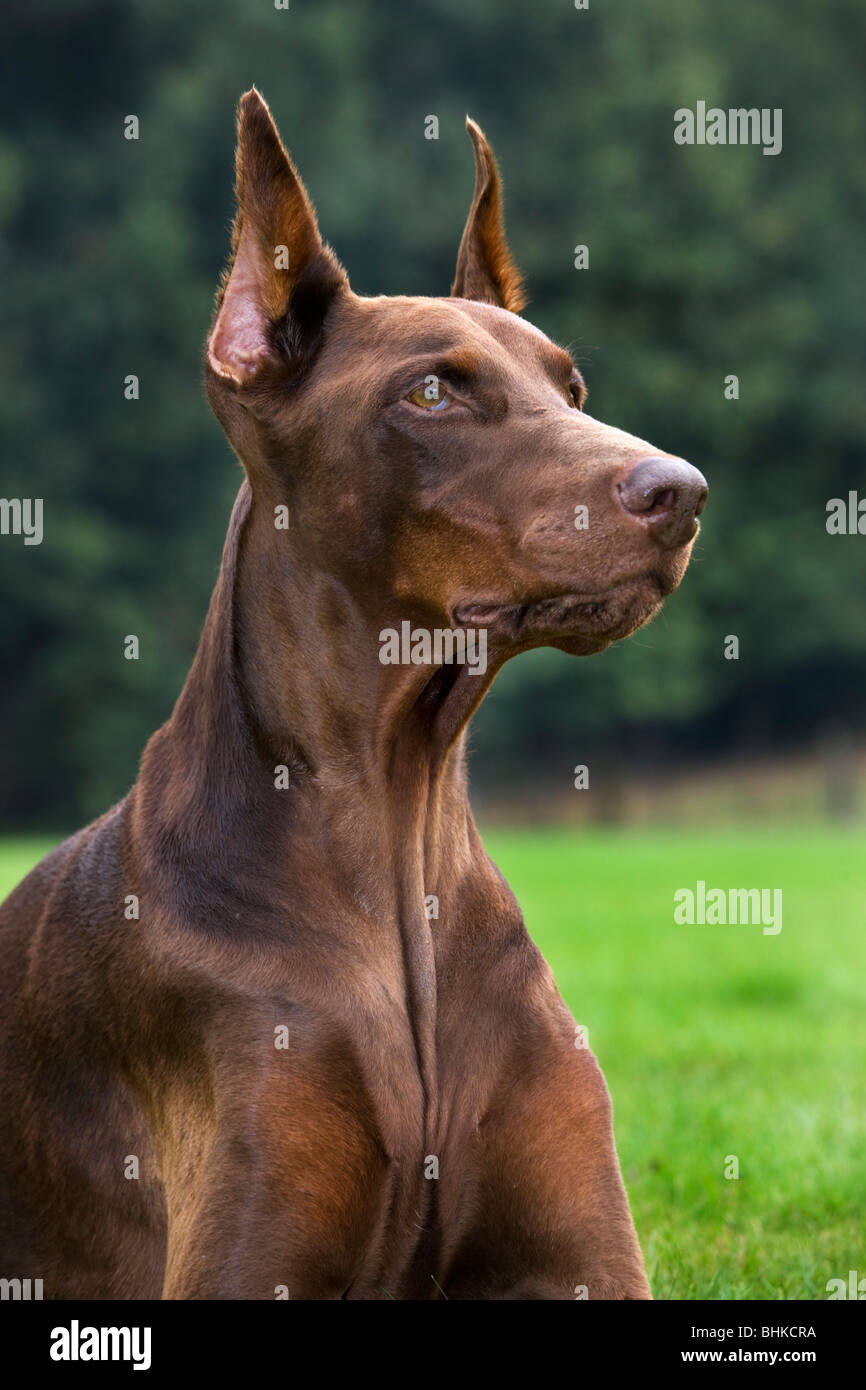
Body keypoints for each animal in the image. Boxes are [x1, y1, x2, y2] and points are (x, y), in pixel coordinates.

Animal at [0, 92, 706, 1295]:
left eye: (569, 388)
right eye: (430, 391)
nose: (683, 492)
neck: (395, 819)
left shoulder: (589, 1262)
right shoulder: (244, 1241)